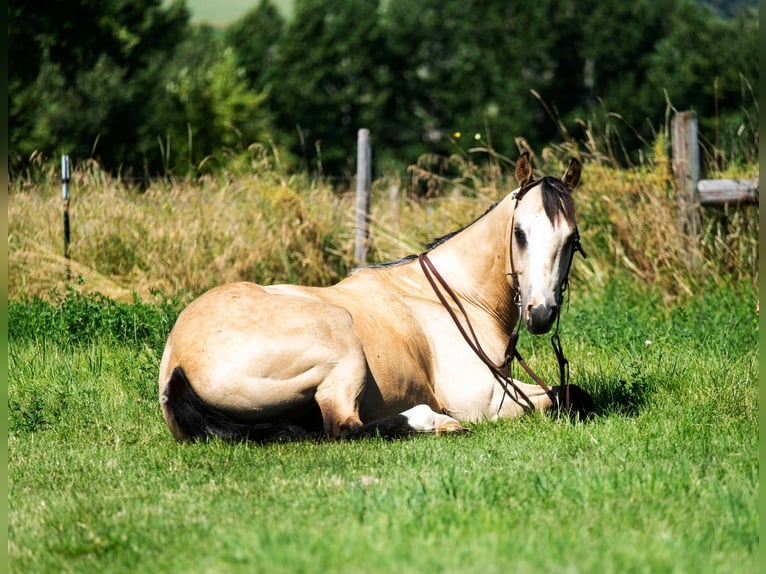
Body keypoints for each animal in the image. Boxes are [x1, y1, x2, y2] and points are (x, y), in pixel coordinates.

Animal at [159, 151, 596, 444]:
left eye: (572, 240)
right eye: (520, 233)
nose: (541, 313)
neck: (459, 297)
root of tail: (178, 361)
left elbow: (572, 393)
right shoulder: (486, 399)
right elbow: (565, 397)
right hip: (343, 347)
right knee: (343, 428)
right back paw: (432, 421)